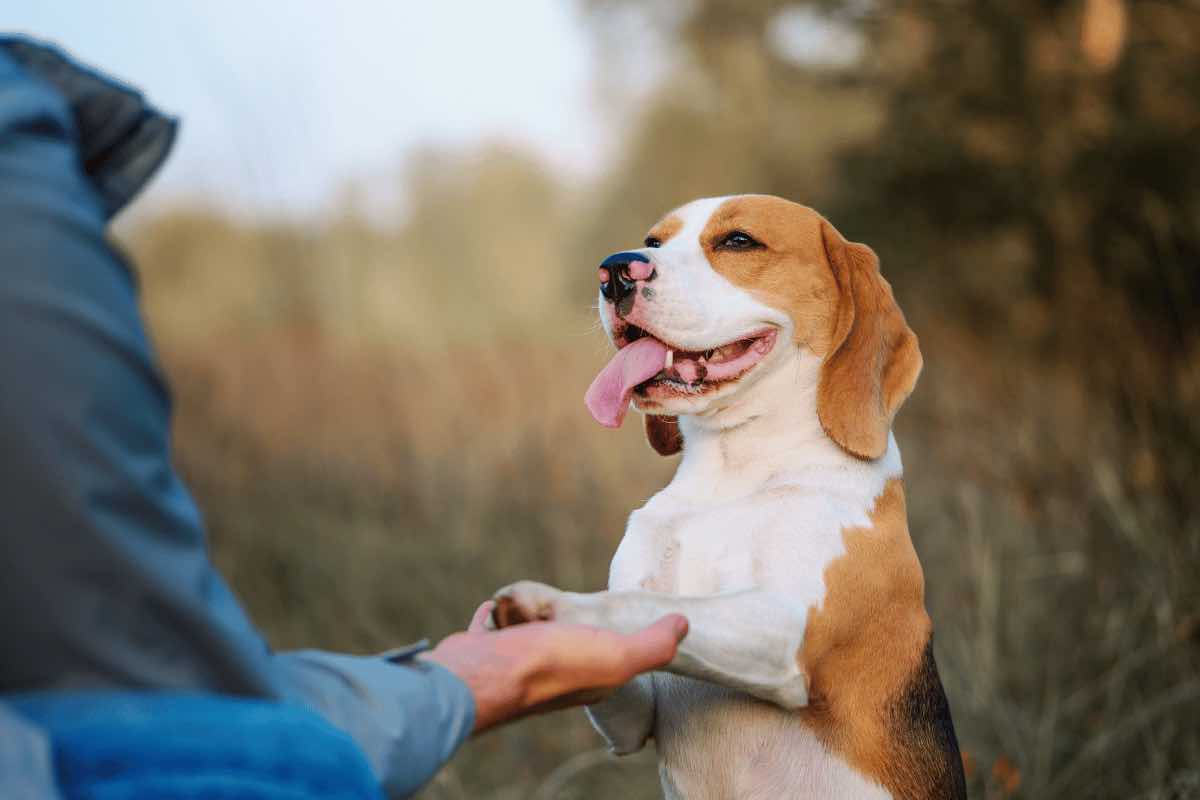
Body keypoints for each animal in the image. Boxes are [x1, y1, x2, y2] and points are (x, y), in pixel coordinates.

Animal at [492, 195, 969, 800]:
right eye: (653, 242)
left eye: (738, 241)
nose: (615, 270)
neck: (733, 471)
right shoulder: (634, 718)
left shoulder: (783, 630)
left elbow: (645, 604)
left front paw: (549, 605)